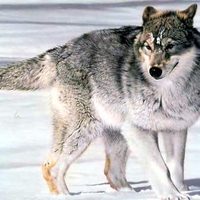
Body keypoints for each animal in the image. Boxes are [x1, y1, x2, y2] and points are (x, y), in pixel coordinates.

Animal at [0, 3, 199, 200]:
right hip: (84, 131)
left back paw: (127, 194)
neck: (169, 92)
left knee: (110, 171)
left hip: (118, 136)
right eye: (148, 47)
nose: (154, 71)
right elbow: (160, 167)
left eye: (170, 46)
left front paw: (182, 190)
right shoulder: (139, 130)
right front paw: (173, 195)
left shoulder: (176, 129)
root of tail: (63, 50)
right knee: (51, 168)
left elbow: (177, 168)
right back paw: (68, 196)